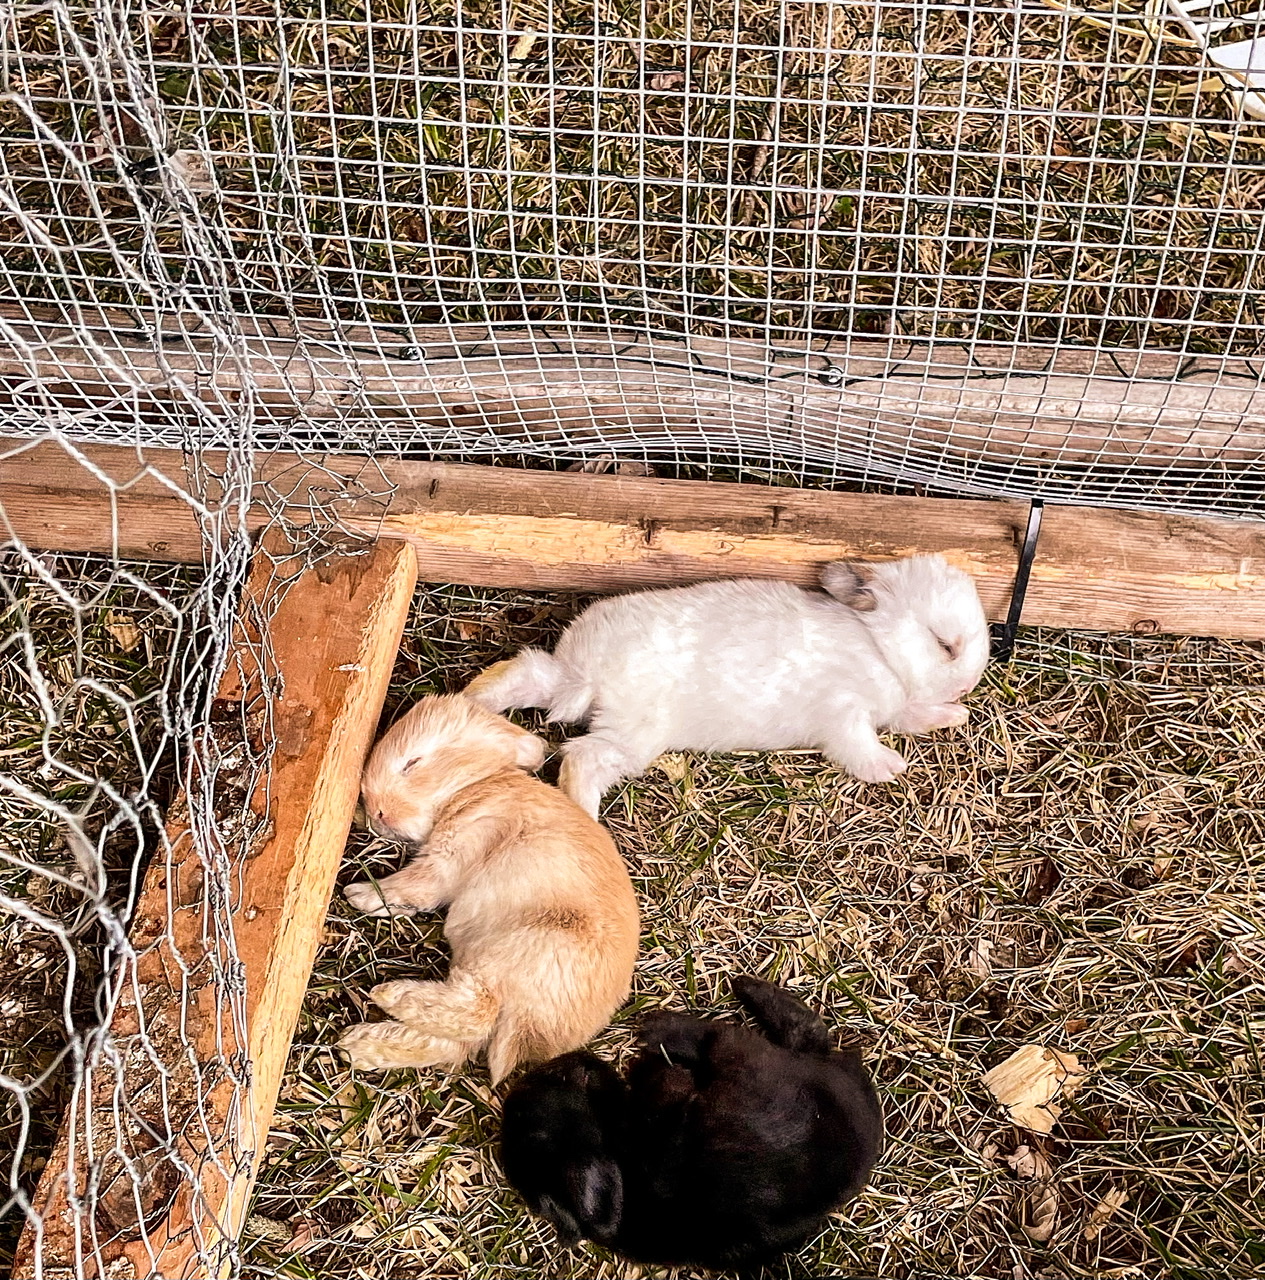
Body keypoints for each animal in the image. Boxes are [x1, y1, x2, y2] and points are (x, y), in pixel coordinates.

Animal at [337, 694, 639, 1084]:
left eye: (412, 763)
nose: (378, 813)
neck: (476, 785)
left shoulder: (458, 848)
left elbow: (417, 884)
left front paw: (360, 894)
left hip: (515, 951)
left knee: (476, 1011)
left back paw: (388, 996)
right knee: (454, 1042)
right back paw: (357, 1044)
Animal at [466, 553, 989, 815]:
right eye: (945, 645)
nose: (966, 689)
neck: (880, 648)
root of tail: (591, 675)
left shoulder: (896, 708)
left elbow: (913, 717)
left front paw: (954, 716)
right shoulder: (843, 713)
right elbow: (857, 746)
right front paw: (890, 767)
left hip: (571, 687)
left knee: (529, 673)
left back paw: (475, 699)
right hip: (635, 733)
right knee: (581, 760)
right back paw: (586, 816)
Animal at [501, 975, 884, 1269]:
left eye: (557, 1078)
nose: (575, 1060)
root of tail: (848, 1077)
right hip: (748, 1059)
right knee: (746, 1035)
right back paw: (667, 1028)